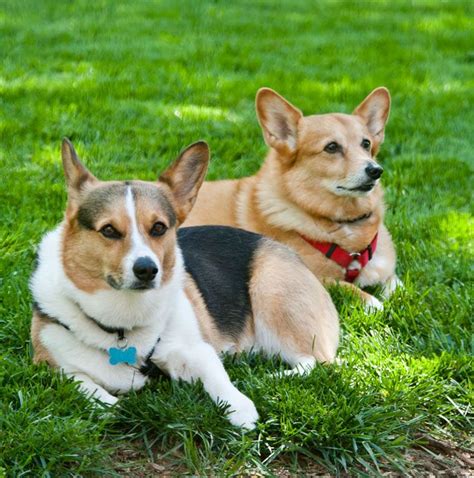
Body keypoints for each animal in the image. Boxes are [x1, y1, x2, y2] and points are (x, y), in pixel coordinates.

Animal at [29, 137, 338, 430]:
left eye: (158, 228)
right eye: (109, 230)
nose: (146, 269)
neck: (123, 324)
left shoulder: (196, 351)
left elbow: (218, 378)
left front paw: (241, 408)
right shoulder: (51, 366)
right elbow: (83, 383)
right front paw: (109, 403)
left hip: (272, 291)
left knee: (318, 362)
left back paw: (272, 377)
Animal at [183, 88, 402, 312]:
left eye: (366, 144)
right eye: (331, 147)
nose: (375, 170)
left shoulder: (386, 272)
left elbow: (397, 285)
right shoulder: (313, 275)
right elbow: (345, 286)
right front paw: (372, 301)